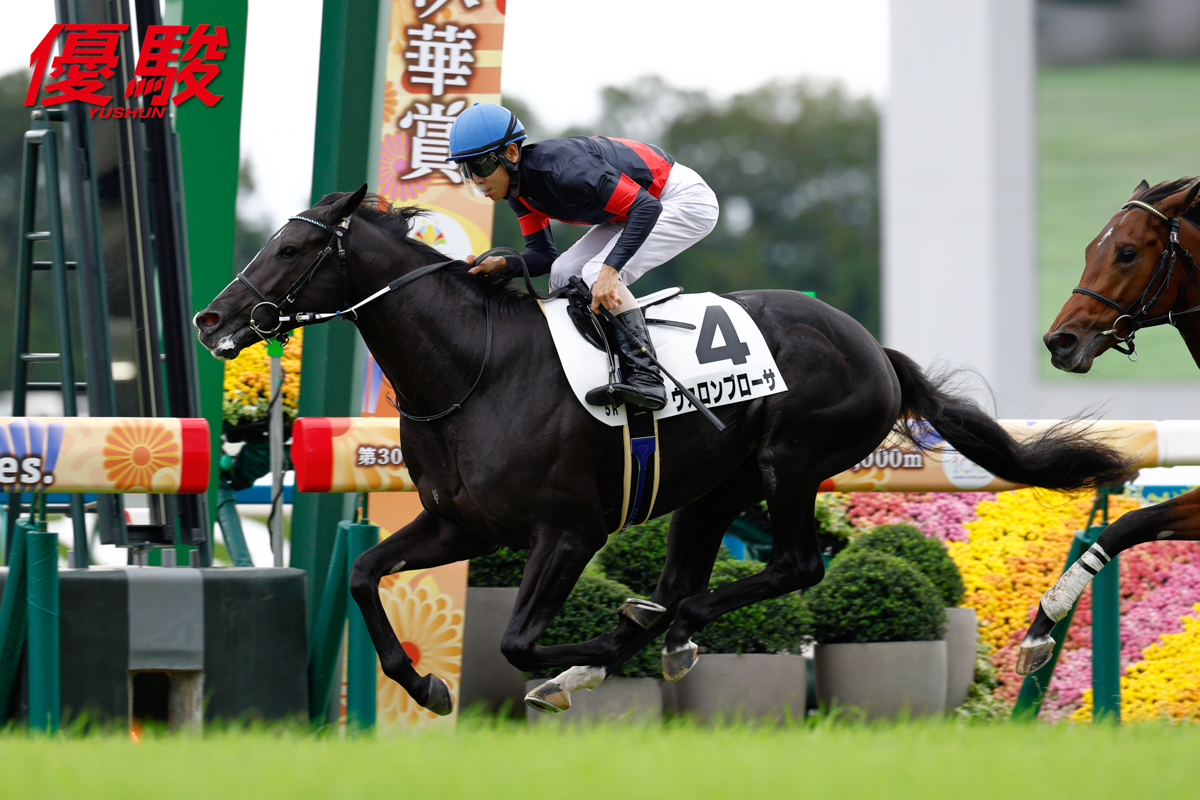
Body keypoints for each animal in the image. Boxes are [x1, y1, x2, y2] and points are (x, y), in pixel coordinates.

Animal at [194, 184, 1128, 715]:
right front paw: (424, 681)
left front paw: (582, 663)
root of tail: (873, 345)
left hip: (791, 463)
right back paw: (666, 628)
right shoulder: (463, 525)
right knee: (703, 578)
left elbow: (521, 644)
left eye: (291, 247)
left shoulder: (567, 531)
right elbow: (361, 573)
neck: (475, 370)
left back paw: (645, 631)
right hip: (715, 490)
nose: (211, 318)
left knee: (795, 564)